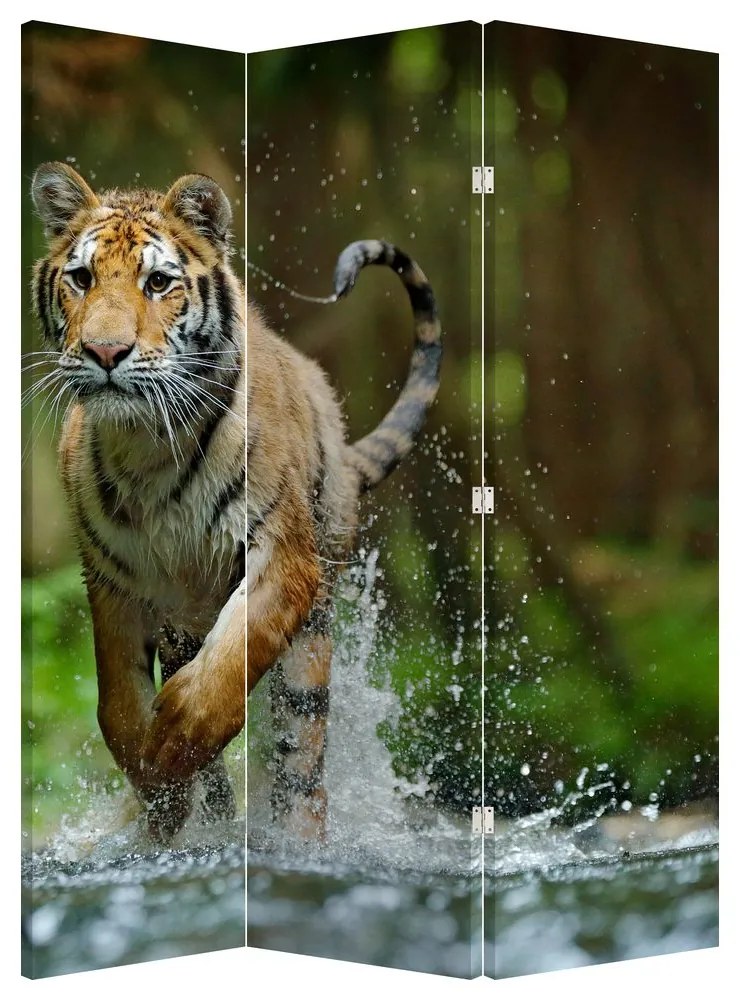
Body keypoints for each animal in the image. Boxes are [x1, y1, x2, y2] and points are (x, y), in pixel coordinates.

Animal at [30, 161, 442, 843]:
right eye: (82, 278)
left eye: (158, 282)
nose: (105, 353)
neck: (147, 445)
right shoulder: (112, 579)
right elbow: (117, 704)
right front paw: (156, 787)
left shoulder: (282, 553)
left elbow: (228, 668)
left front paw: (172, 742)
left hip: (312, 642)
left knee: (302, 767)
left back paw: (296, 840)